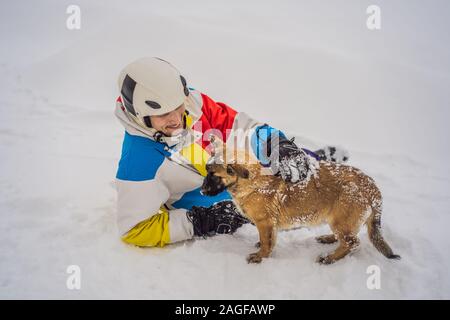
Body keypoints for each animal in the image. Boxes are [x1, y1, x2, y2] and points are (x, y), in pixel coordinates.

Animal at [201, 138, 400, 264]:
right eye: (207, 170)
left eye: (214, 175)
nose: (202, 191)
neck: (253, 181)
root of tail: (371, 186)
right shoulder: (268, 225)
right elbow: (268, 239)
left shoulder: (265, 222)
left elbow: (266, 242)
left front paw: (260, 256)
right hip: (339, 220)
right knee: (348, 238)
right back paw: (328, 239)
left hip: (341, 220)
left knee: (353, 243)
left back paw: (329, 258)